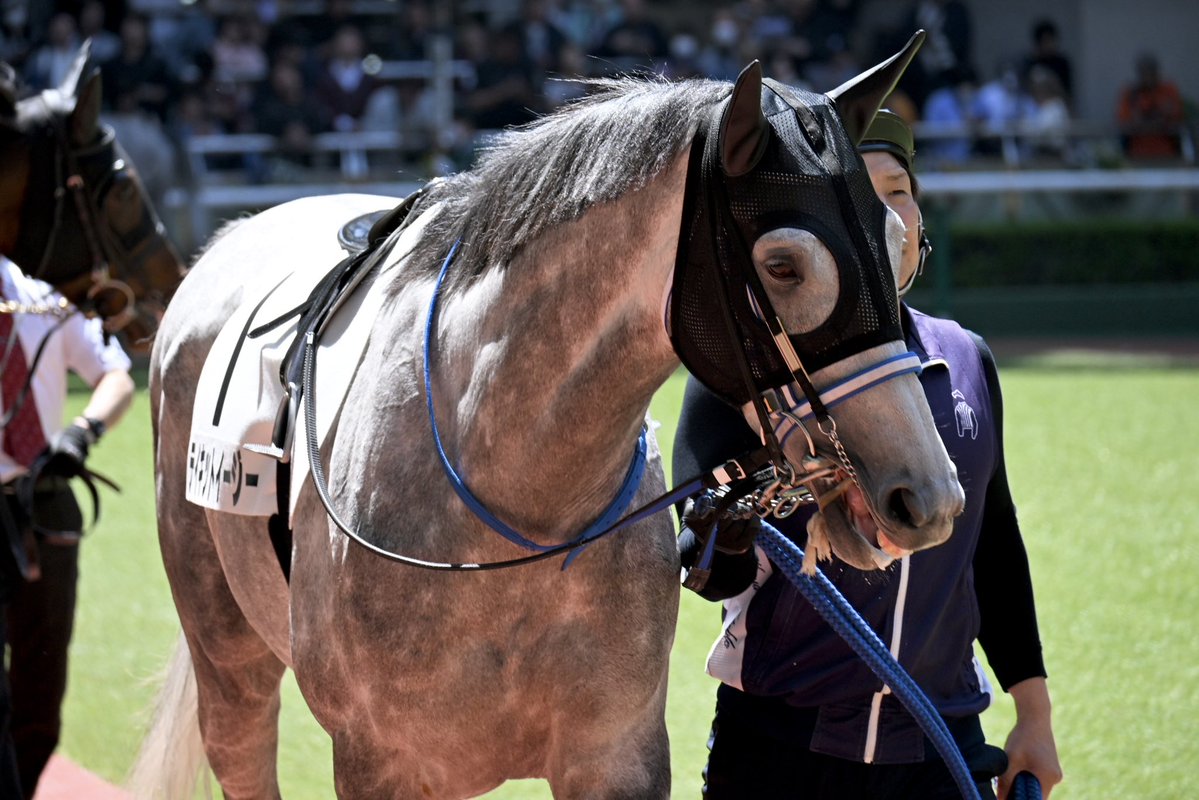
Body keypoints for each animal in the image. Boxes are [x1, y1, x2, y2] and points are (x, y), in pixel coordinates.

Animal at [137, 33, 965, 799]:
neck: (513, 508)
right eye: (782, 266)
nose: (925, 496)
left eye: (894, 240)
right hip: (227, 656)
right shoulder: (383, 763)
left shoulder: (616, 753)